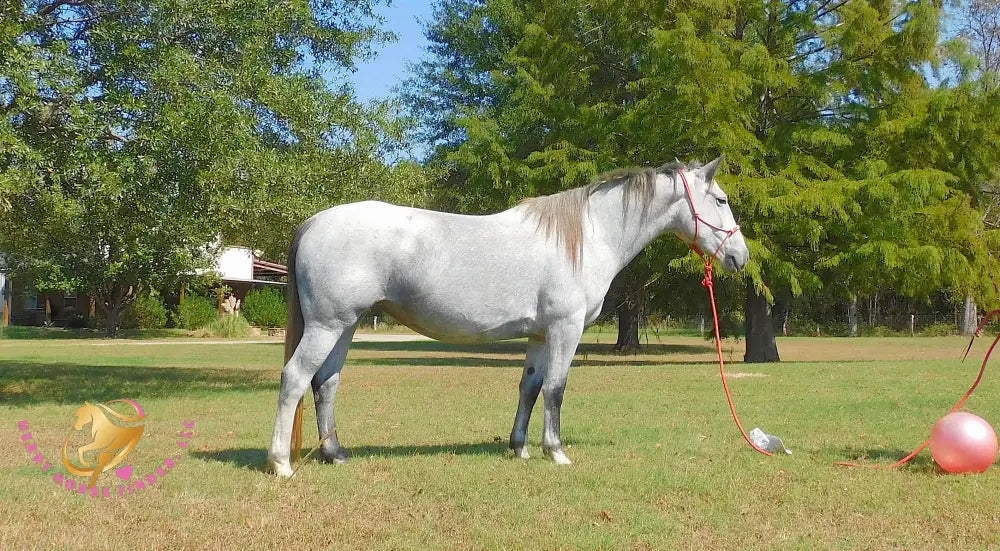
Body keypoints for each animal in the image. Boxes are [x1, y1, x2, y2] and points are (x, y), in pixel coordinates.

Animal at [270, 156, 748, 478]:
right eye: (721, 199)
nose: (740, 257)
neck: (587, 235)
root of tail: (312, 223)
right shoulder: (565, 330)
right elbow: (556, 389)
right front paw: (556, 451)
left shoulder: (539, 335)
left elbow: (530, 388)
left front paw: (520, 448)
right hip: (328, 325)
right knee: (295, 378)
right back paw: (281, 463)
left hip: (346, 326)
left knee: (325, 383)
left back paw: (335, 454)